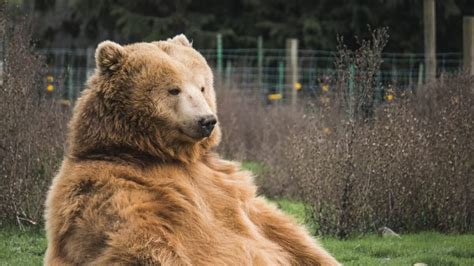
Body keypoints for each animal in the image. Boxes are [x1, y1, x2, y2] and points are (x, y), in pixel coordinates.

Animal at [44, 35, 338, 266]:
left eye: (202, 86)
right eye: (173, 90)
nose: (207, 120)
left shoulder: (225, 184)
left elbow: (280, 230)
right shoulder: (114, 186)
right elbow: (136, 240)